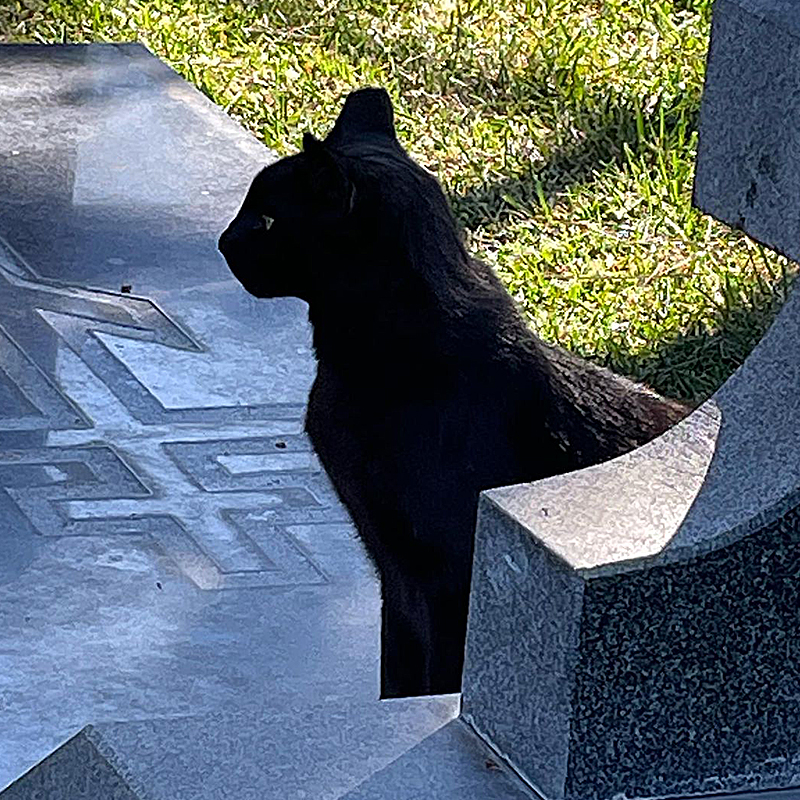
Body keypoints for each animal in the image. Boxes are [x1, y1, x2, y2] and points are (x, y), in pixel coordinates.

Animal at [217, 87, 688, 696]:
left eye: (268, 219)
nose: (223, 241)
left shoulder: (445, 581)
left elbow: (438, 681)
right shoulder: (395, 582)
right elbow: (397, 678)